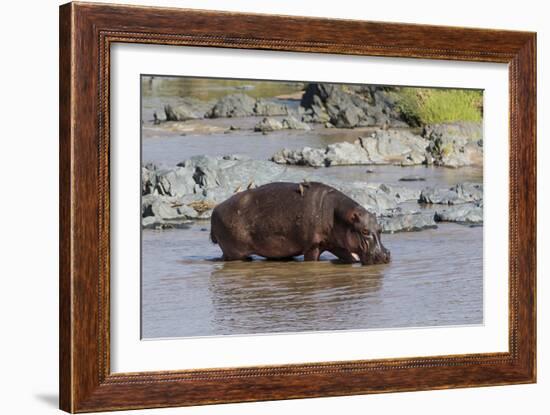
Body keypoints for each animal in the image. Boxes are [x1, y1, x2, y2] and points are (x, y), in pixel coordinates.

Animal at [211, 182, 392, 266]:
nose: (385, 255)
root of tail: (216, 208)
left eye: (380, 229)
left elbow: (351, 257)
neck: (339, 216)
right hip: (234, 252)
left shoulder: (337, 244)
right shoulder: (313, 246)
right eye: (365, 231)